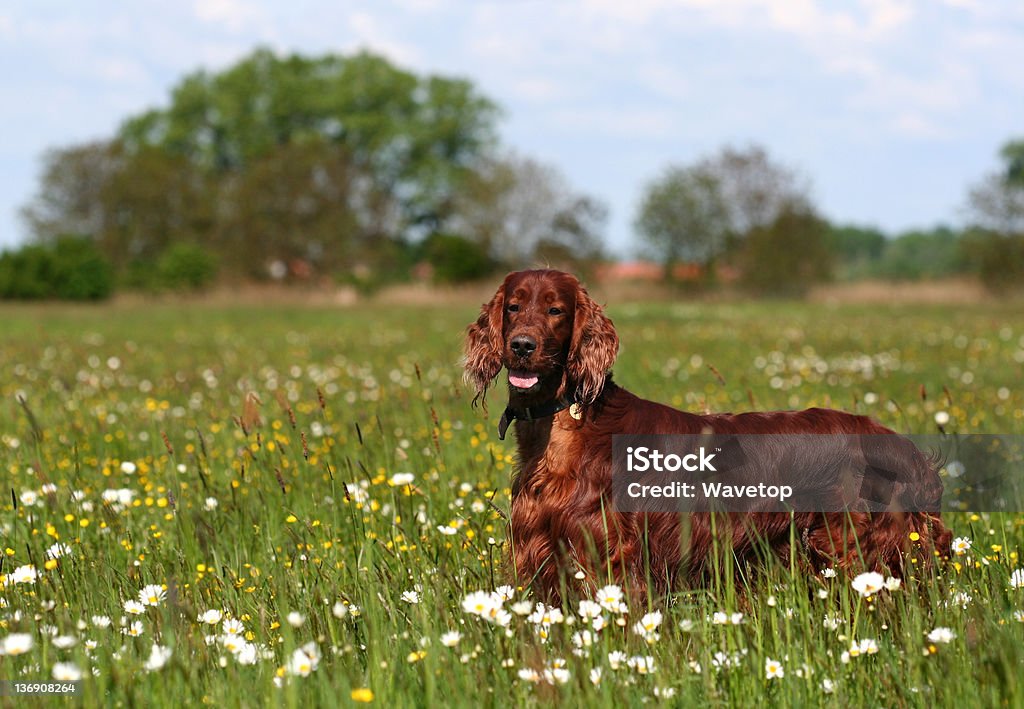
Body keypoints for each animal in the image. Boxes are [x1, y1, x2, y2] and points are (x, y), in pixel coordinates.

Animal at [464, 268, 950, 602]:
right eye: (513, 306)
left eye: (556, 310)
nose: (522, 345)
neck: (566, 422)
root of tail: (900, 445)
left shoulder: (605, 555)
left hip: (855, 547)